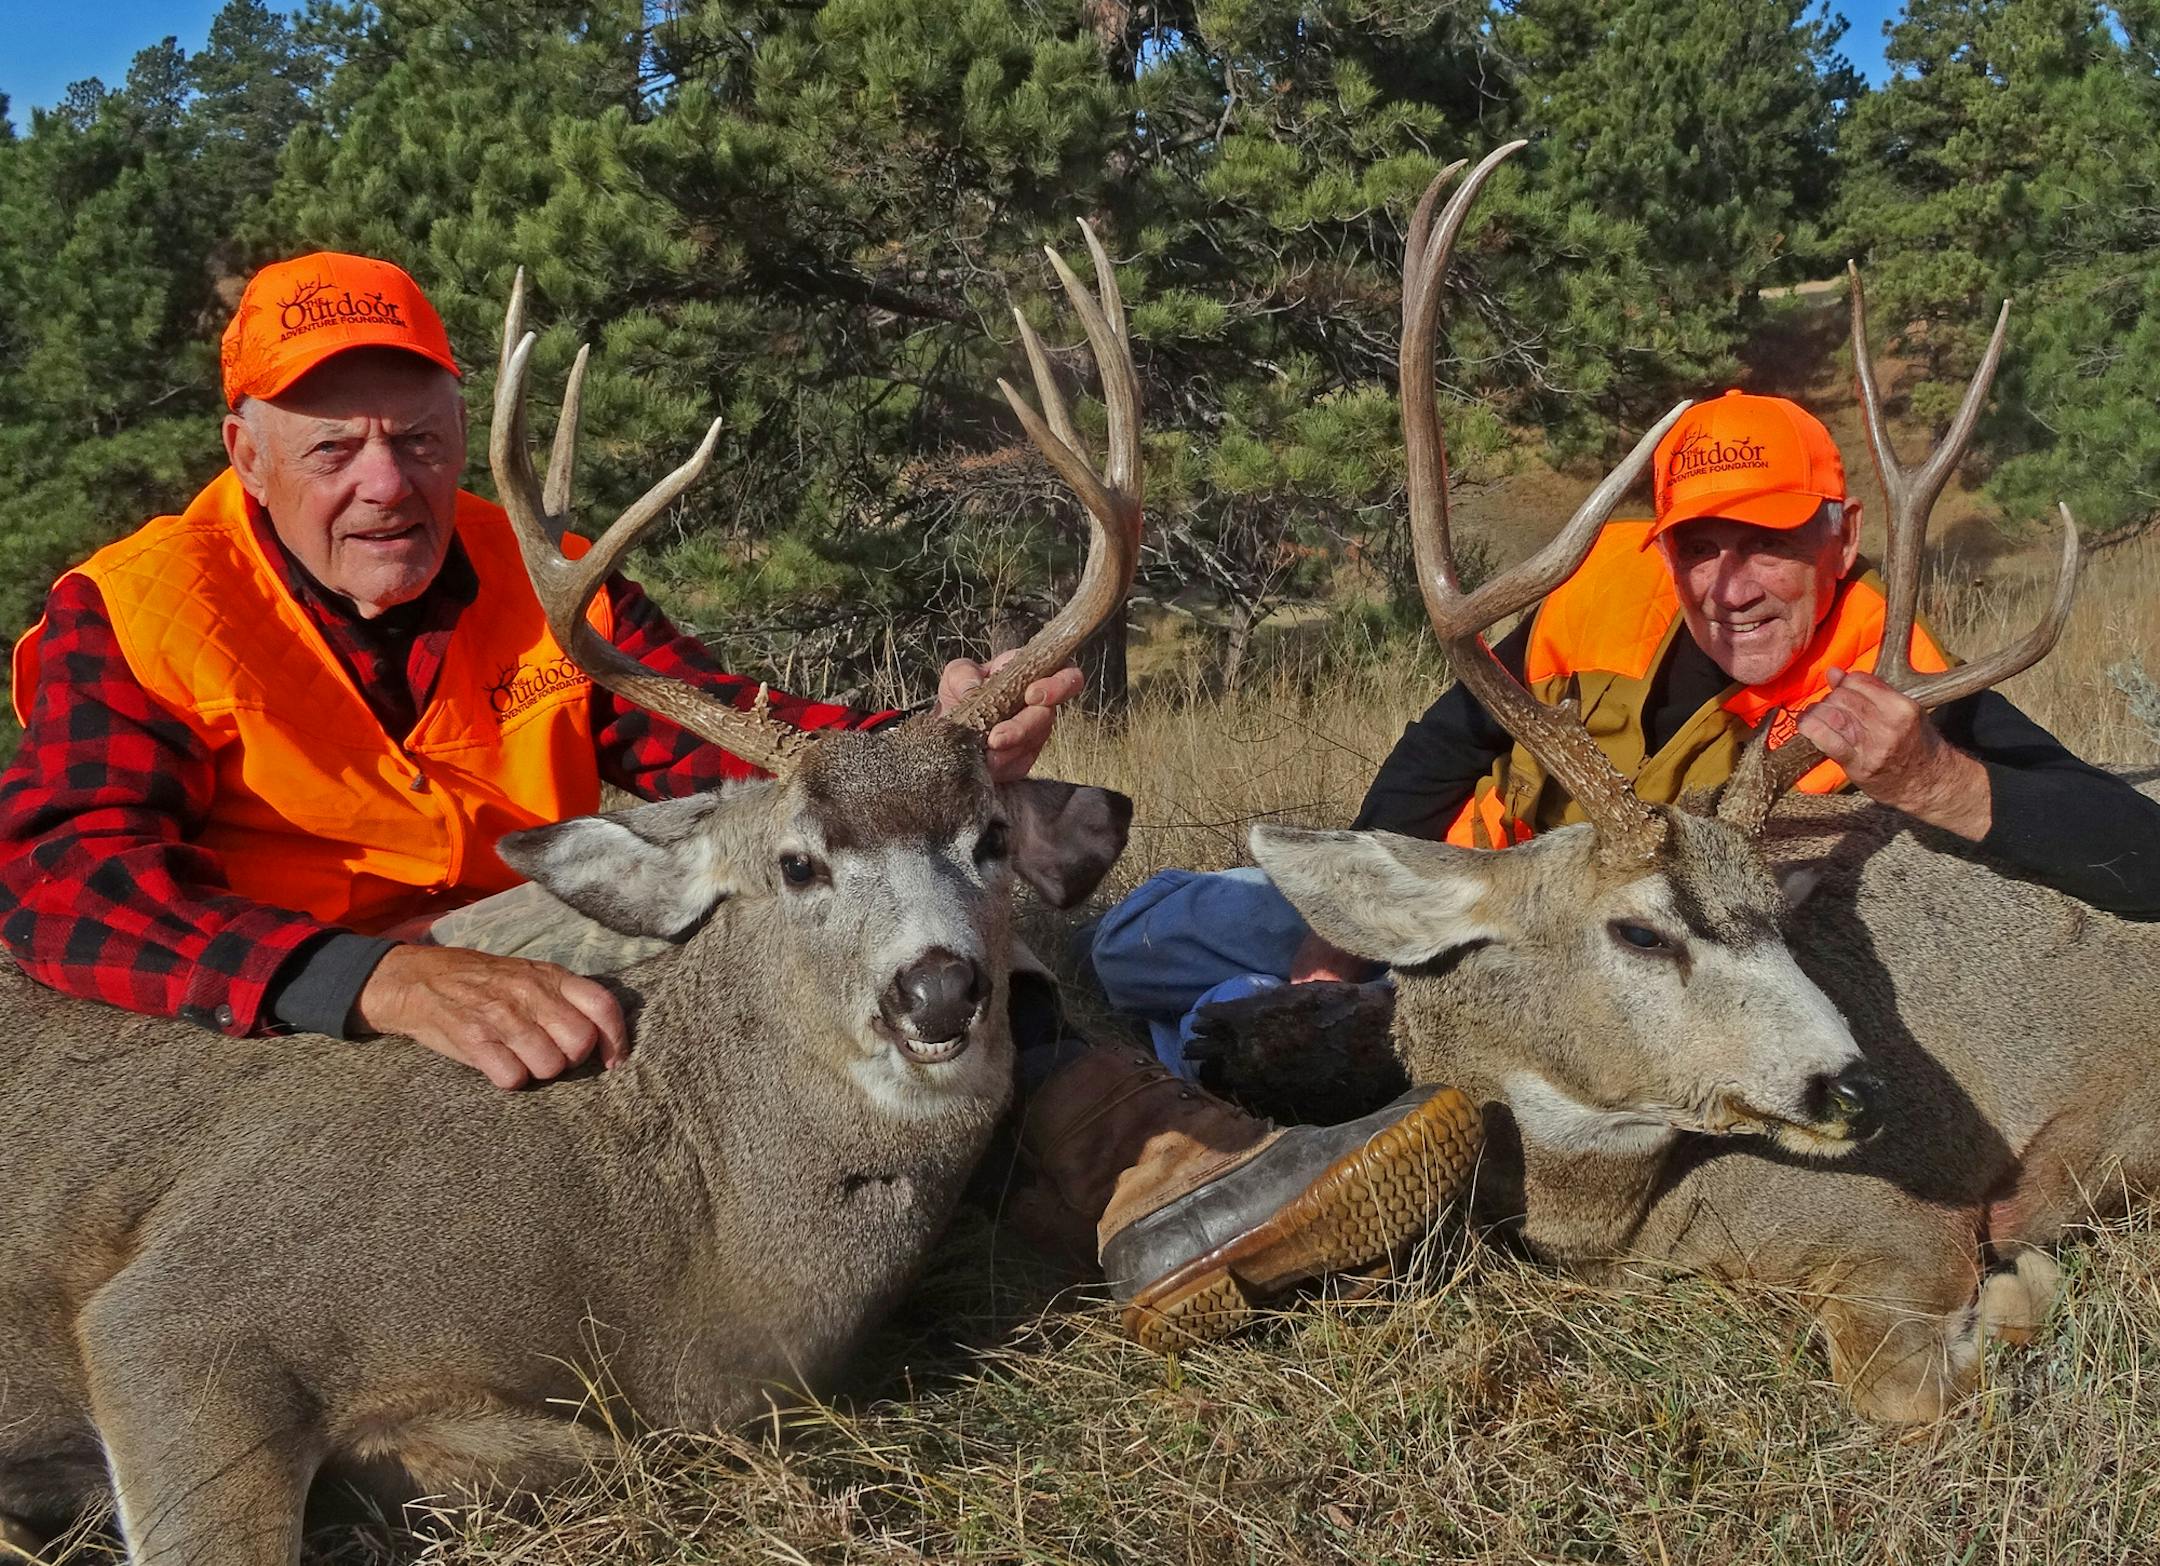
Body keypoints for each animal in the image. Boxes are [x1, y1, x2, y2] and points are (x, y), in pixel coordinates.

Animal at [1250, 142, 2160, 1424]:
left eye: (1779, 912)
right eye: (1639, 931)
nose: (1859, 1092)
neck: (1613, 1215)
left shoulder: (1906, 1217)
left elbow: (1901, 1385)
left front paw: (2023, 1293)